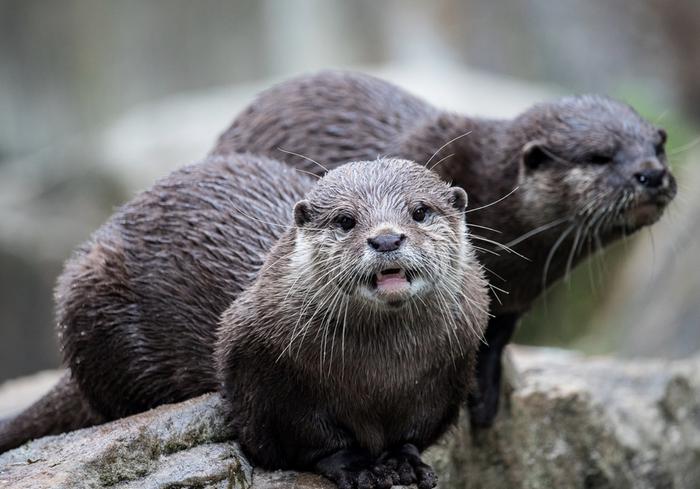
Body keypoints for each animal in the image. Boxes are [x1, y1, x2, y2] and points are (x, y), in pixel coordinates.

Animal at [1, 154, 489, 489]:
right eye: (346, 220)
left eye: (419, 211)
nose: (386, 238)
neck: (382, 375)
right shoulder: (263, 368)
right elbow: (302, 436)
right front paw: (358, 465)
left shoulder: (447, 376)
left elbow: (414, 432)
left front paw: (404, 461)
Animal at [212, 70, 677, 427]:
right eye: (600, 157)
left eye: (659, 146)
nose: (652, 174)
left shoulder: (510, 301)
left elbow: (492, 341)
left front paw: (485, 397)